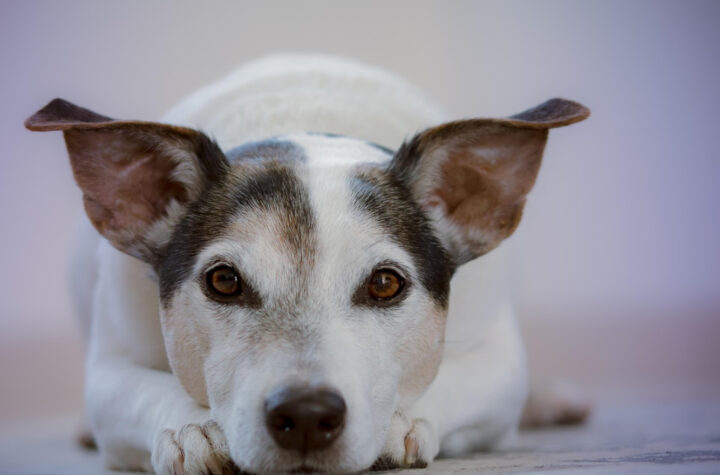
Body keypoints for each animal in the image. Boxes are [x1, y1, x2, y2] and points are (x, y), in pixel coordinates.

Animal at [25, 55, 589, 474]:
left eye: (386, 284)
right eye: (223, 280)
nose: (307, 414)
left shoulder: (499, 362)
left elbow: (454, 380)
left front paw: (400, 422)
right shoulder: (110, 367)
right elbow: (142, 390)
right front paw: (194, 427)